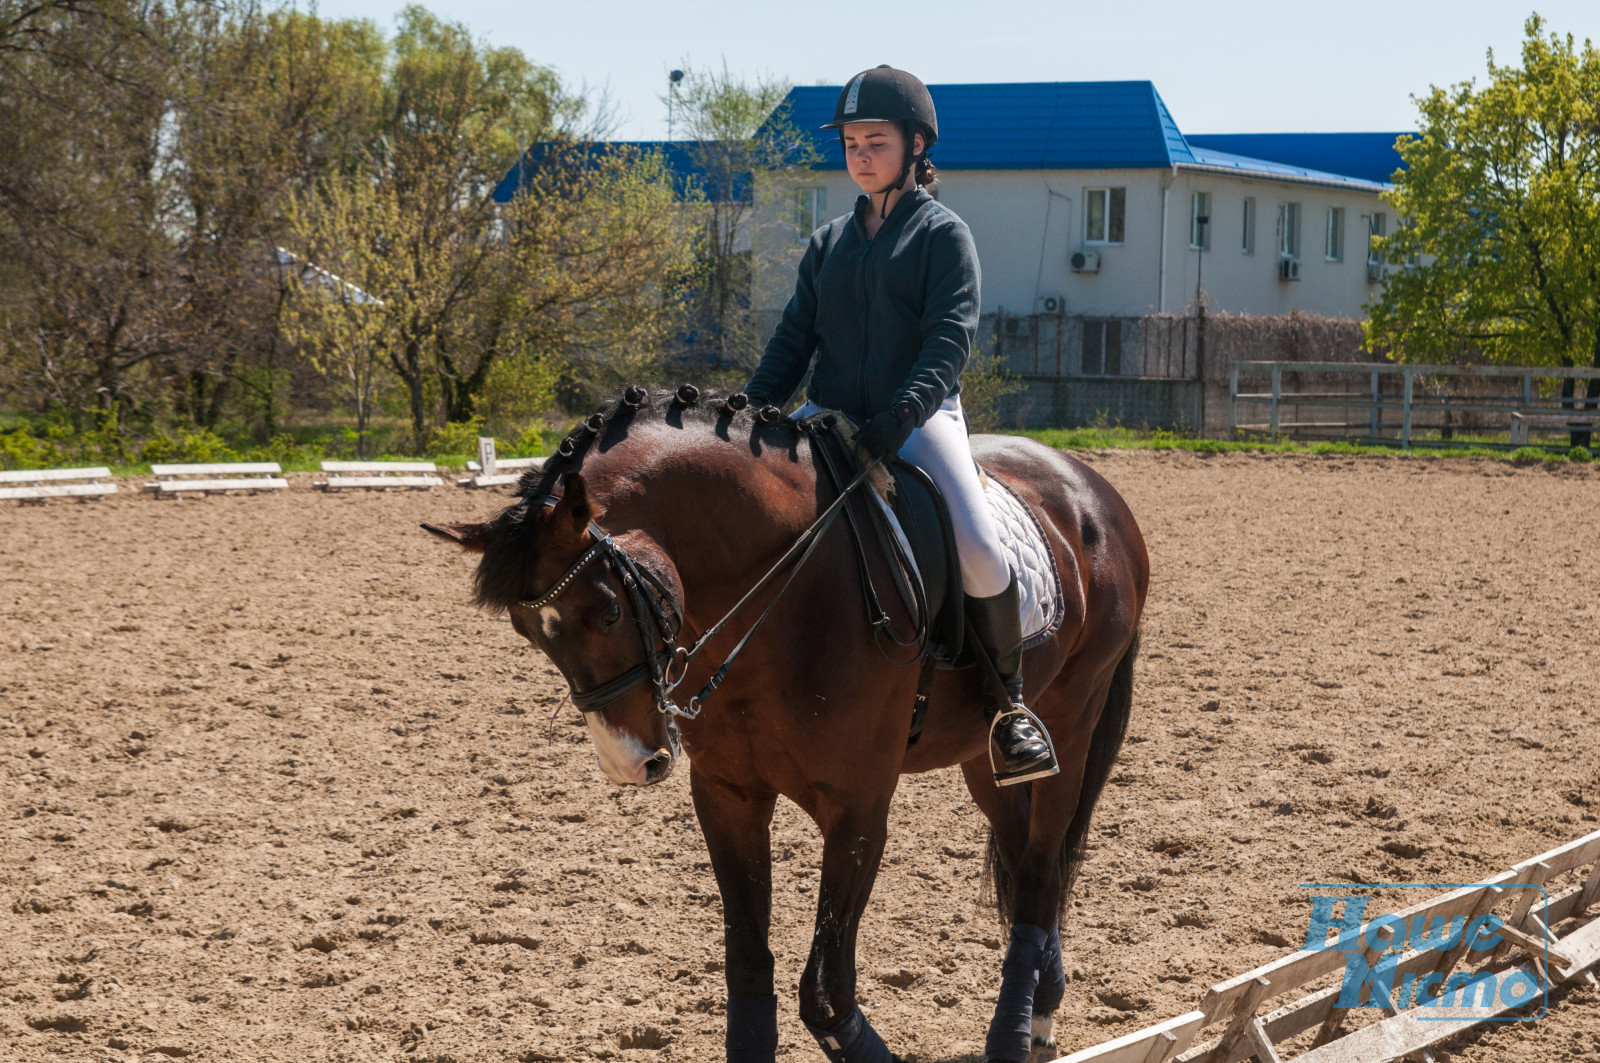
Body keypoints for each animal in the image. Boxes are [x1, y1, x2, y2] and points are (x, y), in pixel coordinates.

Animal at [422, 389, 1152, 1063]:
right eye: (528, 633)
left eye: (606, 611)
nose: (631, 763)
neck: (778, 594)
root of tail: (1088, 483)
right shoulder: (728, 795)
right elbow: (747, 964)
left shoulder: (858, 807)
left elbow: (825, 990)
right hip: (981, 753)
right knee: (1026, 855)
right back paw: (1043, 1003)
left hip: (1073, 719)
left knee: (1041, 867)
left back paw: (1016, 1030)